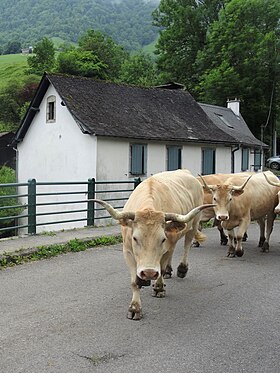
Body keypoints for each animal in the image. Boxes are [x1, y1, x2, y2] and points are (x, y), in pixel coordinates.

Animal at [92, 170, 214, 318]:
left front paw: (158, 288)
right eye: (135, 238)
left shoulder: (166, 247)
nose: (149, 272)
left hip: (194, 223)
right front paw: (135, 308)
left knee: (186, 245)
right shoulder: (127, 251)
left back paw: (181, 269)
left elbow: (161, 268)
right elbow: (134, 282)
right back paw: (168, 271)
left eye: (162, 239)